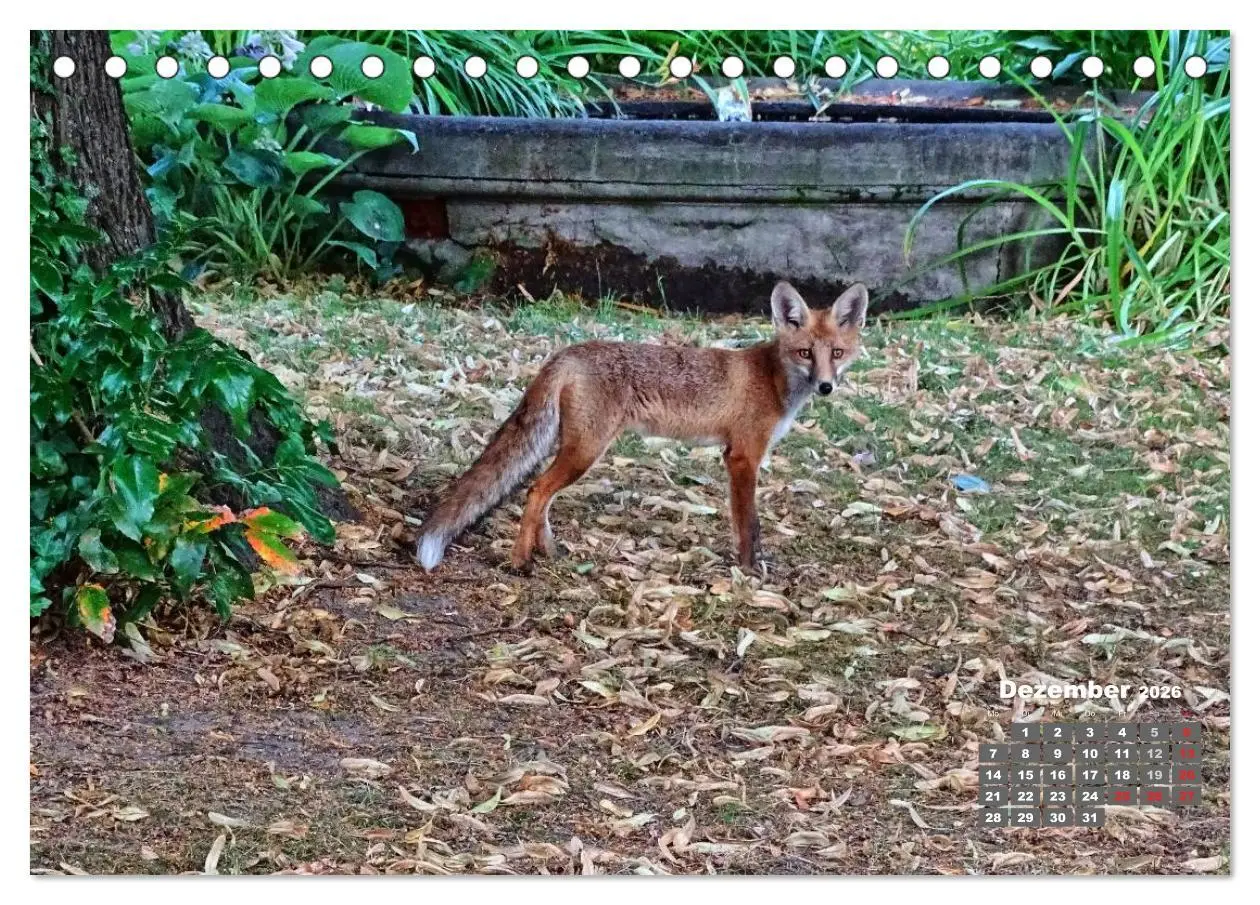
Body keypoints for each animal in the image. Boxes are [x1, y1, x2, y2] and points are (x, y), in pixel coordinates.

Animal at [415, 280, 868, 573]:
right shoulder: (742, 457)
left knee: (540, 495)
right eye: (805, 353)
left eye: (837, 353)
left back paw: (549, 552)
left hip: (570, 446)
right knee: (537, 491)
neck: (773, 381)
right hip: (586, 450)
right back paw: (520, 562)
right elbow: (748, 524)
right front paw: (750, 572)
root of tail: (566, 352)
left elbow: (749, 525)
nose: (826, 386)